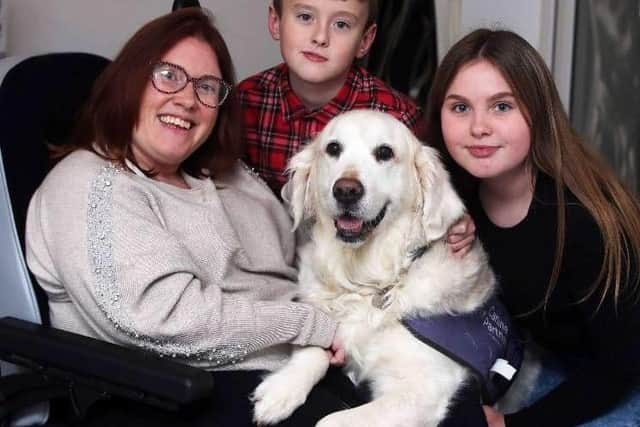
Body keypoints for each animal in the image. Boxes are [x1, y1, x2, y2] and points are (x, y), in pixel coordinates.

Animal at [252, 111, 498, 427]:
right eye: (333, 148)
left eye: (384, 153)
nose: (346, 190)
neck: (367, 281)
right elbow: (314, 348)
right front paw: (281, 389)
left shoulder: (421, 390)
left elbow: (331, 421)